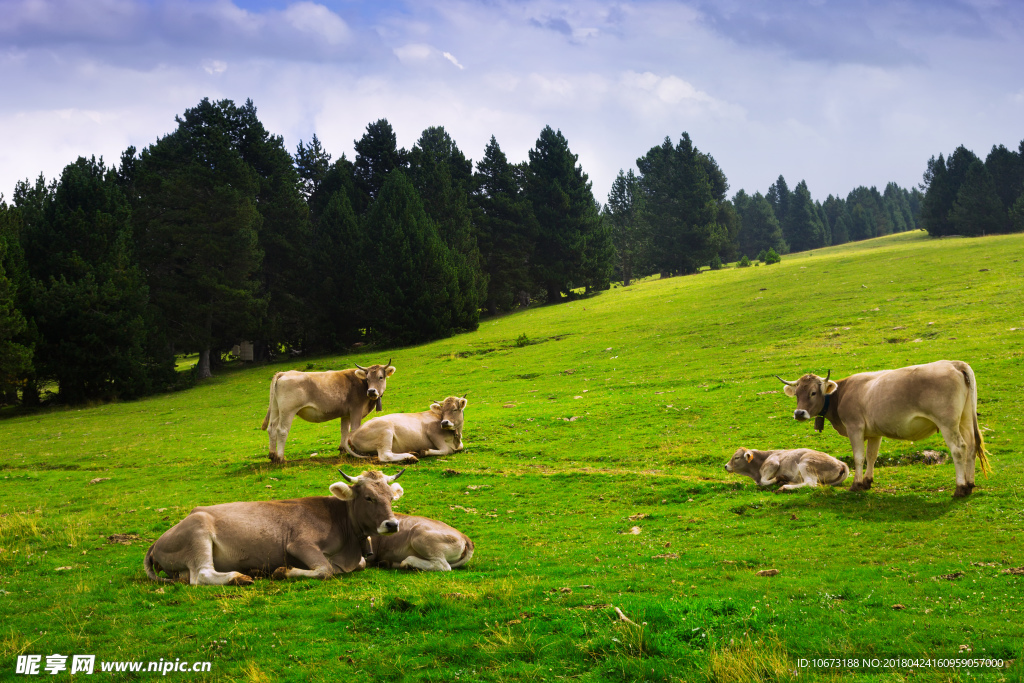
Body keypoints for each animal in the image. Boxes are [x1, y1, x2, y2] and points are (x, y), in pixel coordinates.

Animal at [145, 471, 407, 589]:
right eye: (368, 497)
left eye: (390, 497)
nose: (392, 524)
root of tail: (156, 542)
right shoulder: (299, 544)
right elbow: (325, 570)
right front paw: (283, 571)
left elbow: (354, 565)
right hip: (198, 531)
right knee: (200, 575)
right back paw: (239, 577)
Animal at [260, 358, 395, 464]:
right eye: (367, 378)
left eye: (380, 377)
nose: (371, 391)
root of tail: (283, 373)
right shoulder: (356, 411)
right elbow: (355, 430)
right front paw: (357, 452)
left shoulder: (346, 414)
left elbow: (344, 431)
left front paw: (343, 449)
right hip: (287, 410)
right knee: (281, 430)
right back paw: (280, 458)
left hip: (276, 409)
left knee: (271, 429)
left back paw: (272, 456)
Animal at [778, 360, 987, 499]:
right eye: (797, 394)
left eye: (813, 392)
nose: (799, 413)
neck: (841, 393)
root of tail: (954, 364)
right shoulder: (874, 433)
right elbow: (872, 456)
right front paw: (867, 482)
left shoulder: (855, 427)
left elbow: (858, 457)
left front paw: (856, 484)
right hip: (965, 420)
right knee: (971, 447)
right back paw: (970, 484)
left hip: (947, 423)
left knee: (959, 449)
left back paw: (960, 488)